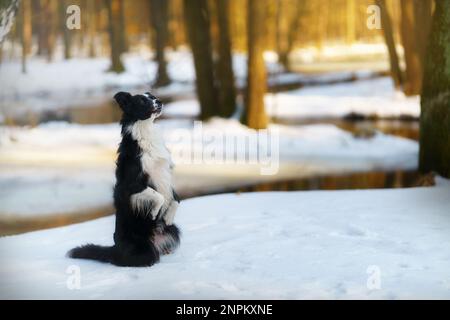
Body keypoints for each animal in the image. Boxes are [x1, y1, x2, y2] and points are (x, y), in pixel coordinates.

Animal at [67, 91, 180, 266]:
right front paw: (155, 212)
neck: (145, 130)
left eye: (153, 96)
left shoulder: (166, 176)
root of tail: (115, 249)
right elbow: (159, 196)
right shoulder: (130, 185)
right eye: (142, 101)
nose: (160, 102)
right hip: (144, 248)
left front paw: (167, 217)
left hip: (174, 231)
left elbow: (175, 199)